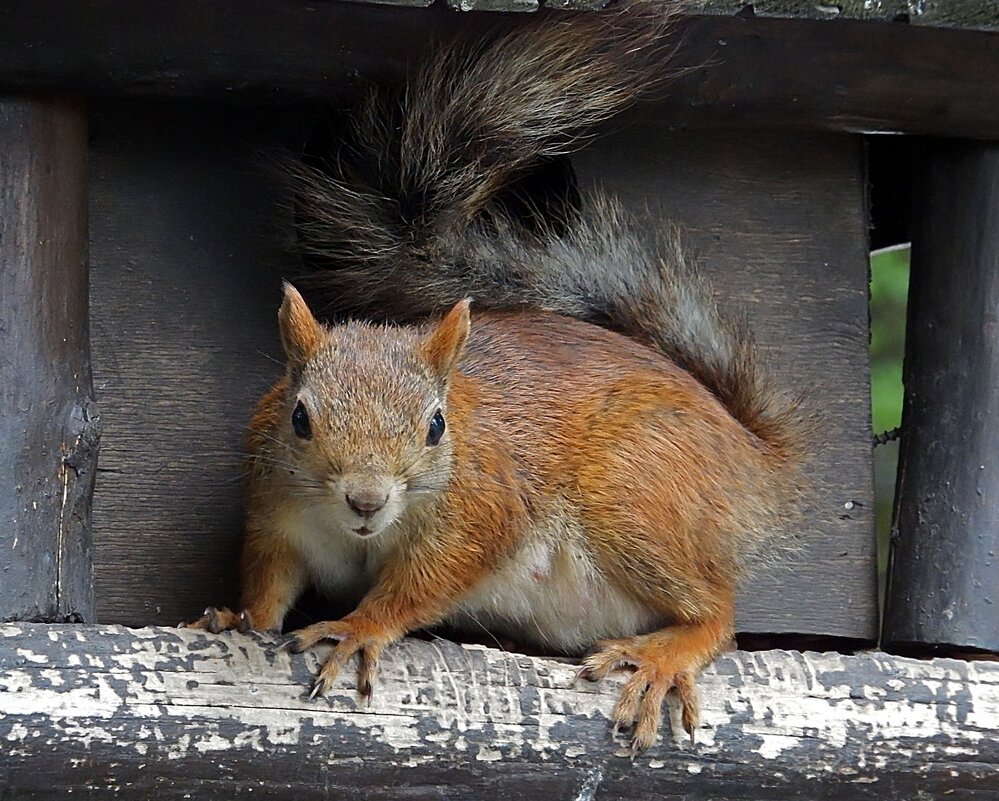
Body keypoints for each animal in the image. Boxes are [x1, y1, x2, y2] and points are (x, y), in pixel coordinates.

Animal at [189, 0, 812, 752]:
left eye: (436, 425)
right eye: (299, 416)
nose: (366, 499)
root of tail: (752, 460)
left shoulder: (482, 508)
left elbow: (421, 584)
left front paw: (359, 625)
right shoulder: (274, 513)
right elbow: (269, 586)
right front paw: (231, 618)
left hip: (637, 493)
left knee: (717, 612)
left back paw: (666, 654)